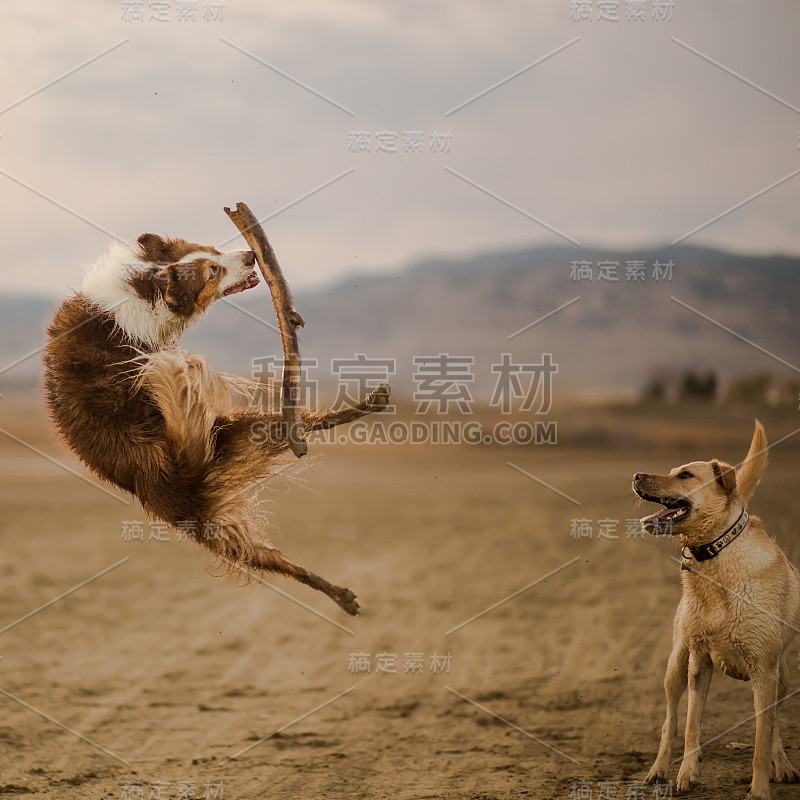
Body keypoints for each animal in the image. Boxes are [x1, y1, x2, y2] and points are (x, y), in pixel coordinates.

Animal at [43, 234, 388, 616]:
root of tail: (189, 473)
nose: (252, 255)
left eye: (213, 250)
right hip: (214, 524)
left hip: (242, 454)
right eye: (212, 270)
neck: (144, 289)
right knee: (275, 560)